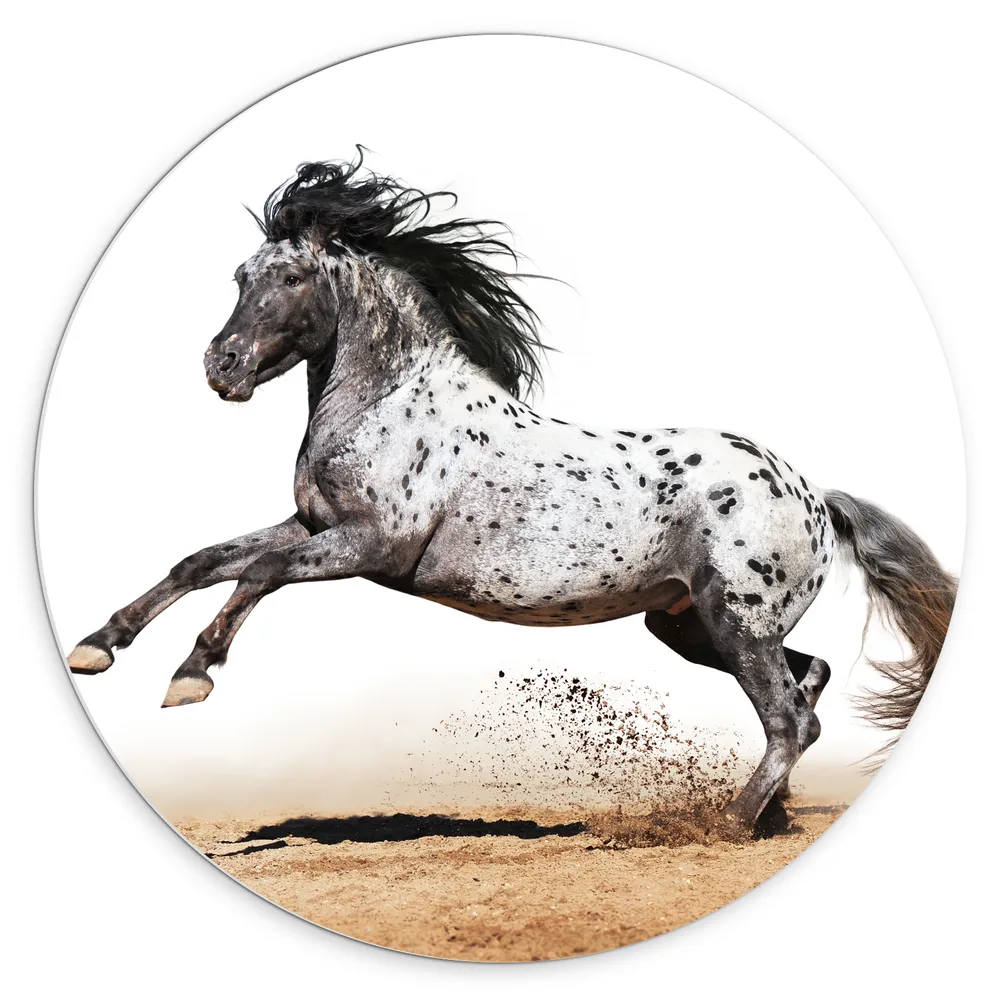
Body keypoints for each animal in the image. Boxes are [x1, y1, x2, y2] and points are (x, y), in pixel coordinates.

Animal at [66, 154, 957, 834]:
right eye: (240, 274)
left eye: (288, 276)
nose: (222, 367)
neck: (391, 403)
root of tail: (812, 494)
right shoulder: (310, 525)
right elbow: (202, 561)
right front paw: (99, 647)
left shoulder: (367, 548)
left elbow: (254, 575)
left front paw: (192, 674)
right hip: (690, 624)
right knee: (809, 685)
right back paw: (771, 813)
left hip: (734, 622)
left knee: (789, 716)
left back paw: (730, 823)